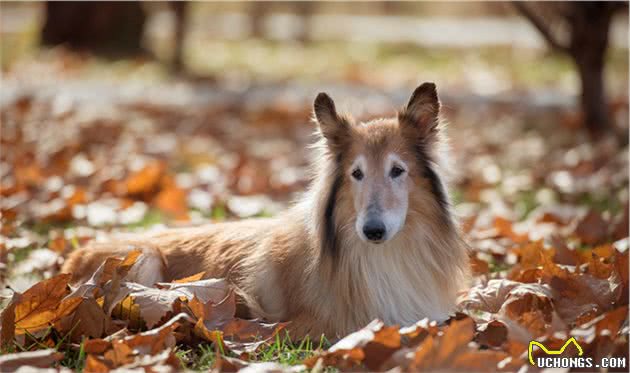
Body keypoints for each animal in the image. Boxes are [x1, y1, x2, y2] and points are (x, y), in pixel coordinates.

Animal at [61, 83, 472, 338]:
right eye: (356, 173)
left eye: (397, 170)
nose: (372, 231)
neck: (380, 254)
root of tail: (70, 257)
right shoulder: (321, 324)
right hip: (142, 257)